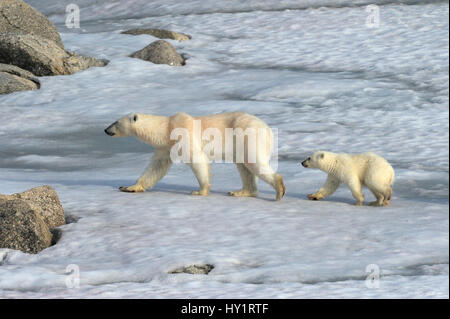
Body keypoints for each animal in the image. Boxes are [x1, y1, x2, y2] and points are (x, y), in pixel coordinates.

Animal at [104, 112, 284, 201]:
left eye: (116, 122)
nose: (106, 130)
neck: (166, 128)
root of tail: (267, 128)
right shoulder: (165, 147)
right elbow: (156, 168)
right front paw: (129, 187)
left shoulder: (184, 134)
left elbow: (198, 159)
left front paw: (199, 191)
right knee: (244, 167)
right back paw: (240, 192)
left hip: (247, 136)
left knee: (254, 162)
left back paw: (279, 189)